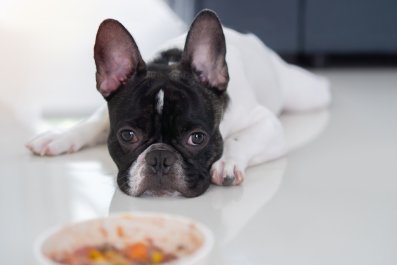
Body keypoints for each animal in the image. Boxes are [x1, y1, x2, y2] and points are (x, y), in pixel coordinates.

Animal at [25, 9, 332, 196]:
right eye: (127, 135)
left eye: (197, 138)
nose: (160, 158)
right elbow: (92, 121)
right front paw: (61, 135)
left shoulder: (267, 123)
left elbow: (238, 139)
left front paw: (227, 163)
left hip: (304, 95)